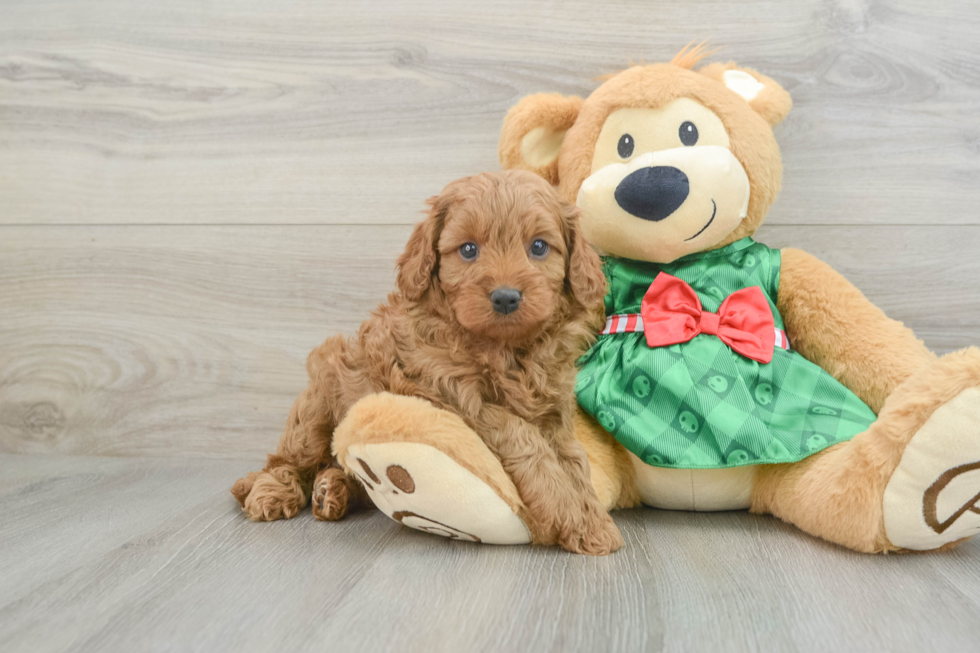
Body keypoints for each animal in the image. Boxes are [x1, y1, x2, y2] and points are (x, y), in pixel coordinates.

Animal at [234, 171, 624, 552]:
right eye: (468, 249)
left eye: (539, 247)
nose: (506, 297)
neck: (506, 350)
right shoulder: (457, 398)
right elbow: (524, 439)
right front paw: (570, 514)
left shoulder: (554, 412)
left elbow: (574, 461)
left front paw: (590, 518)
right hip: (319, 399)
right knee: (287, 460)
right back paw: (274, 491)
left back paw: (332, 489)